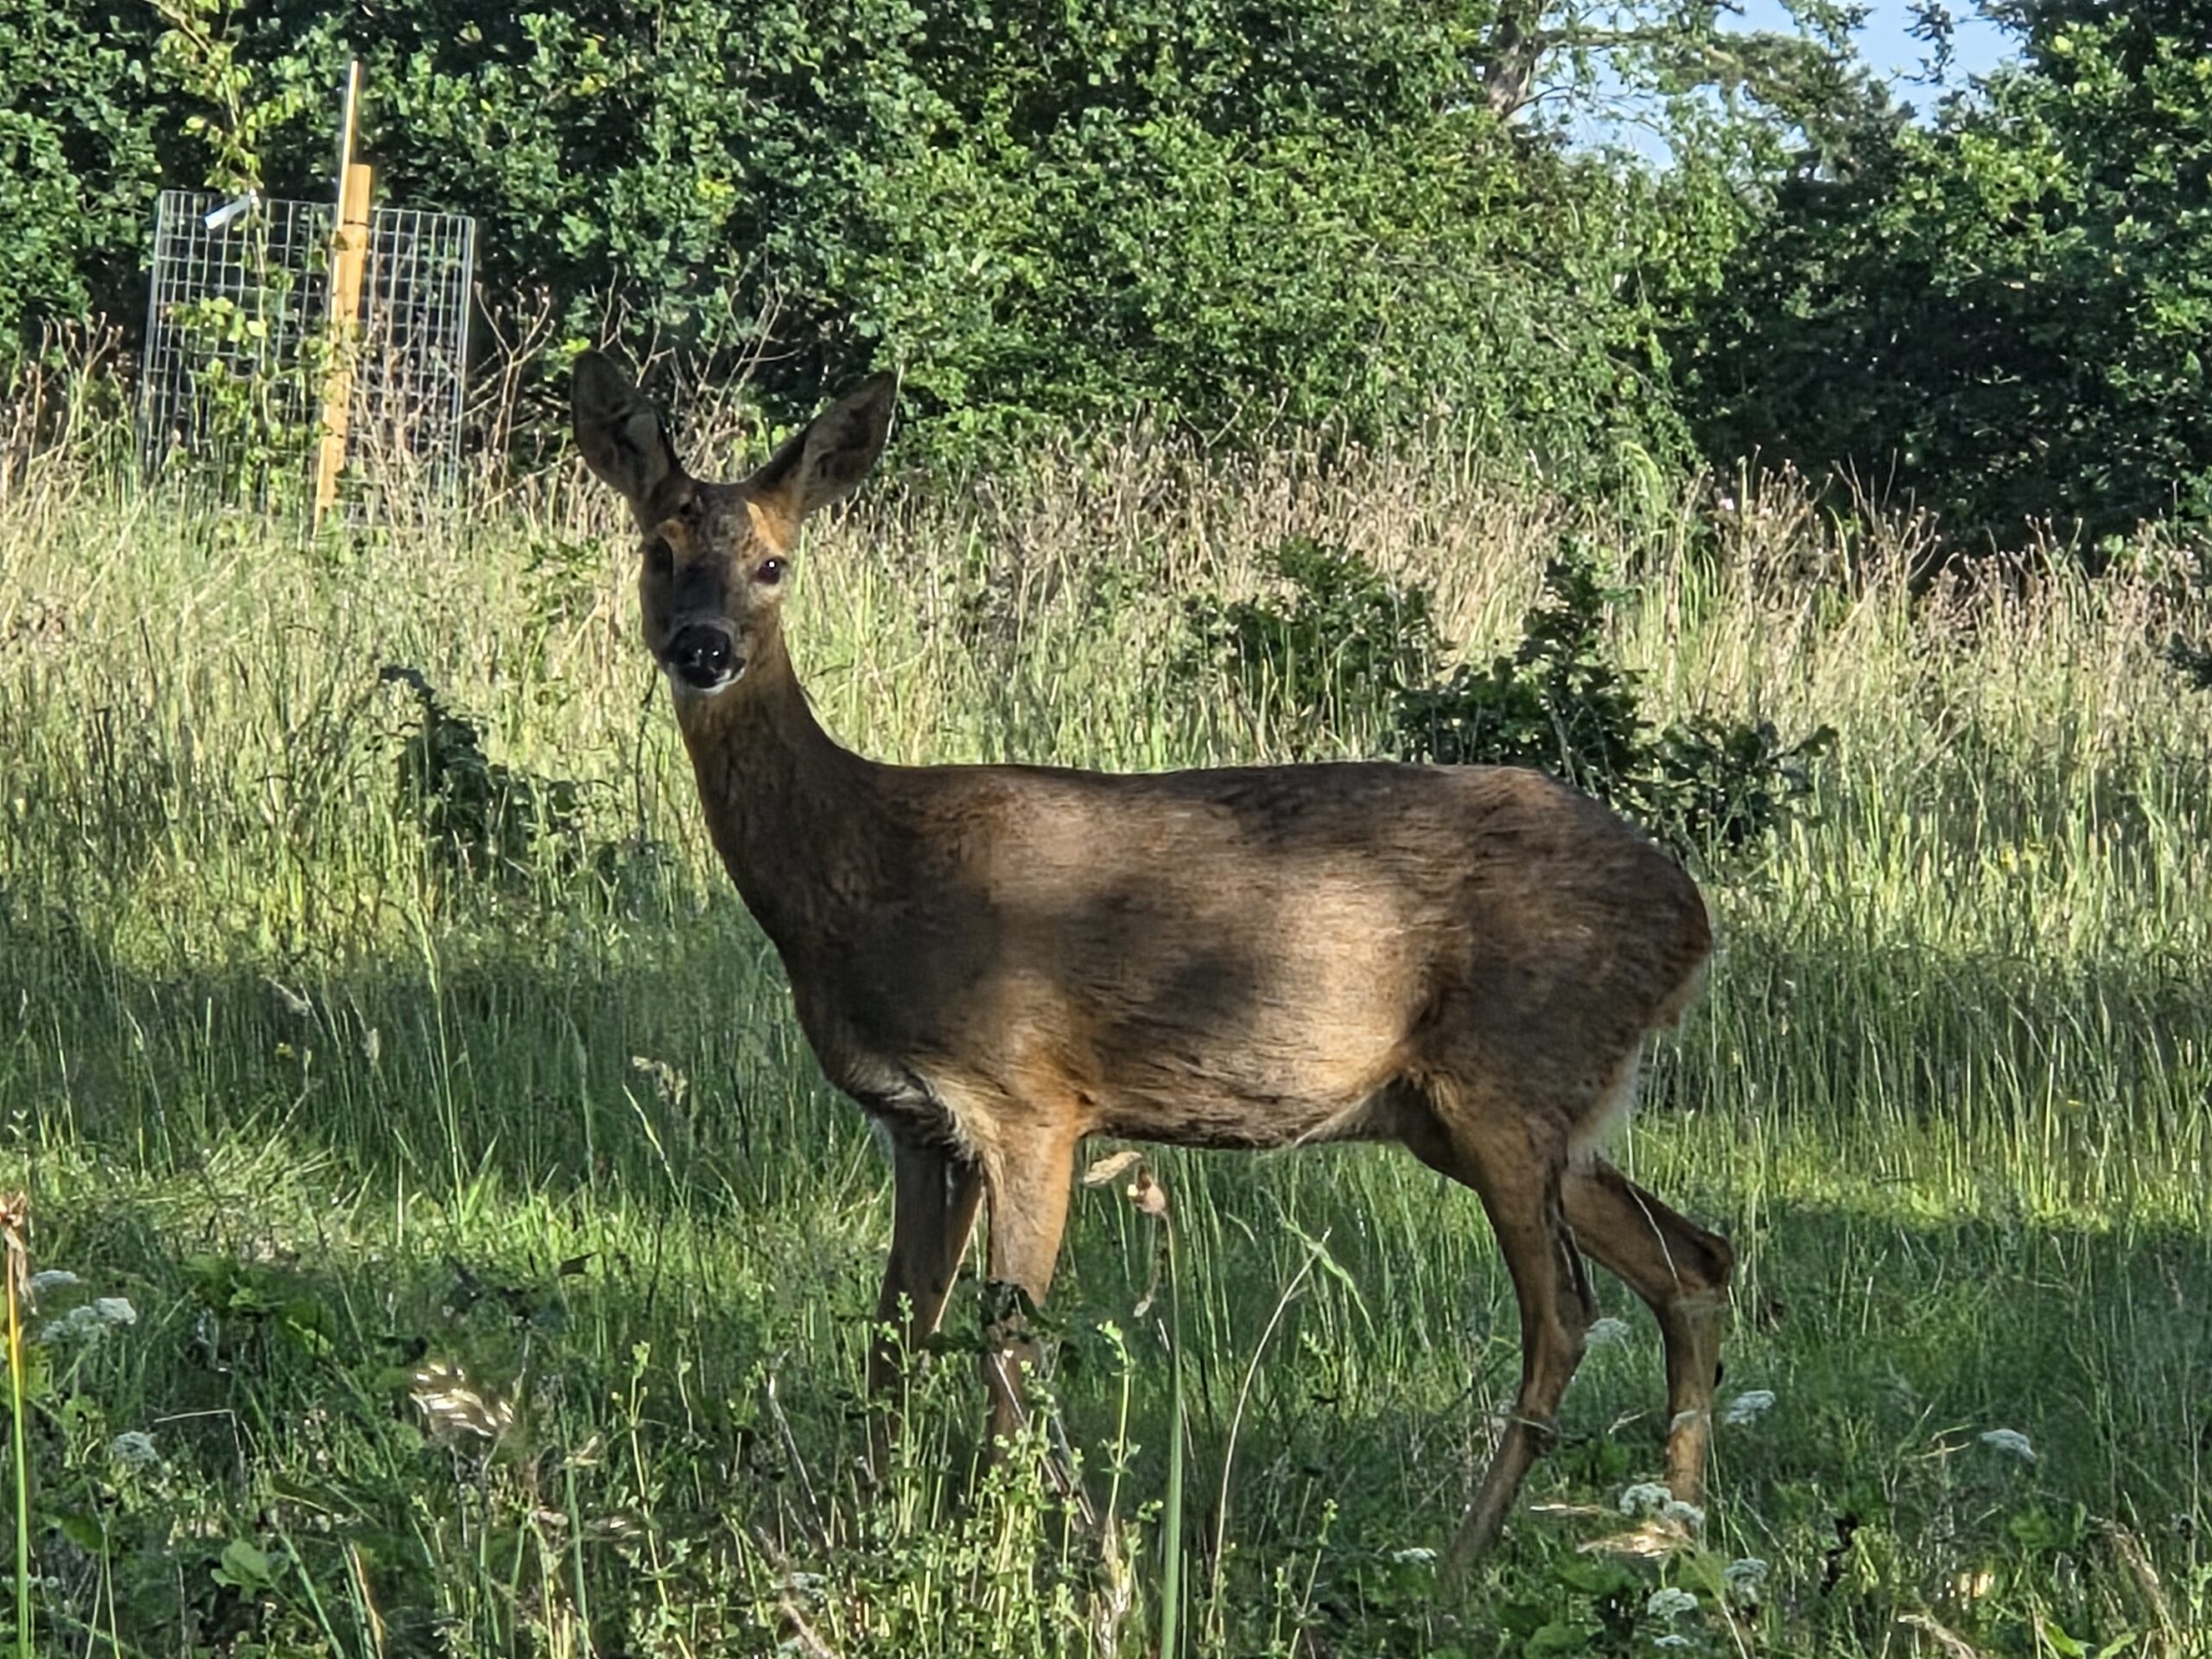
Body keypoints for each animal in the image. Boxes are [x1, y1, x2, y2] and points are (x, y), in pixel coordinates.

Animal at [570, 352, 1735, 1571]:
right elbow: (895, 1333)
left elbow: (1008, 1345)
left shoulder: (1030, 1098)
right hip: (1489, 1114)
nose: (703, 648)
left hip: (1510, 1079)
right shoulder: (919, 1124)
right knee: (1695, 1261)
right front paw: (864, 1528)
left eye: (772, 562)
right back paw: (1674, 1539)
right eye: (657, 549)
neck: (864, 870)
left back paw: (1463, 1564)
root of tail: (1691, 921)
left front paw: (1051, 1555)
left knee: (1564, 1314)